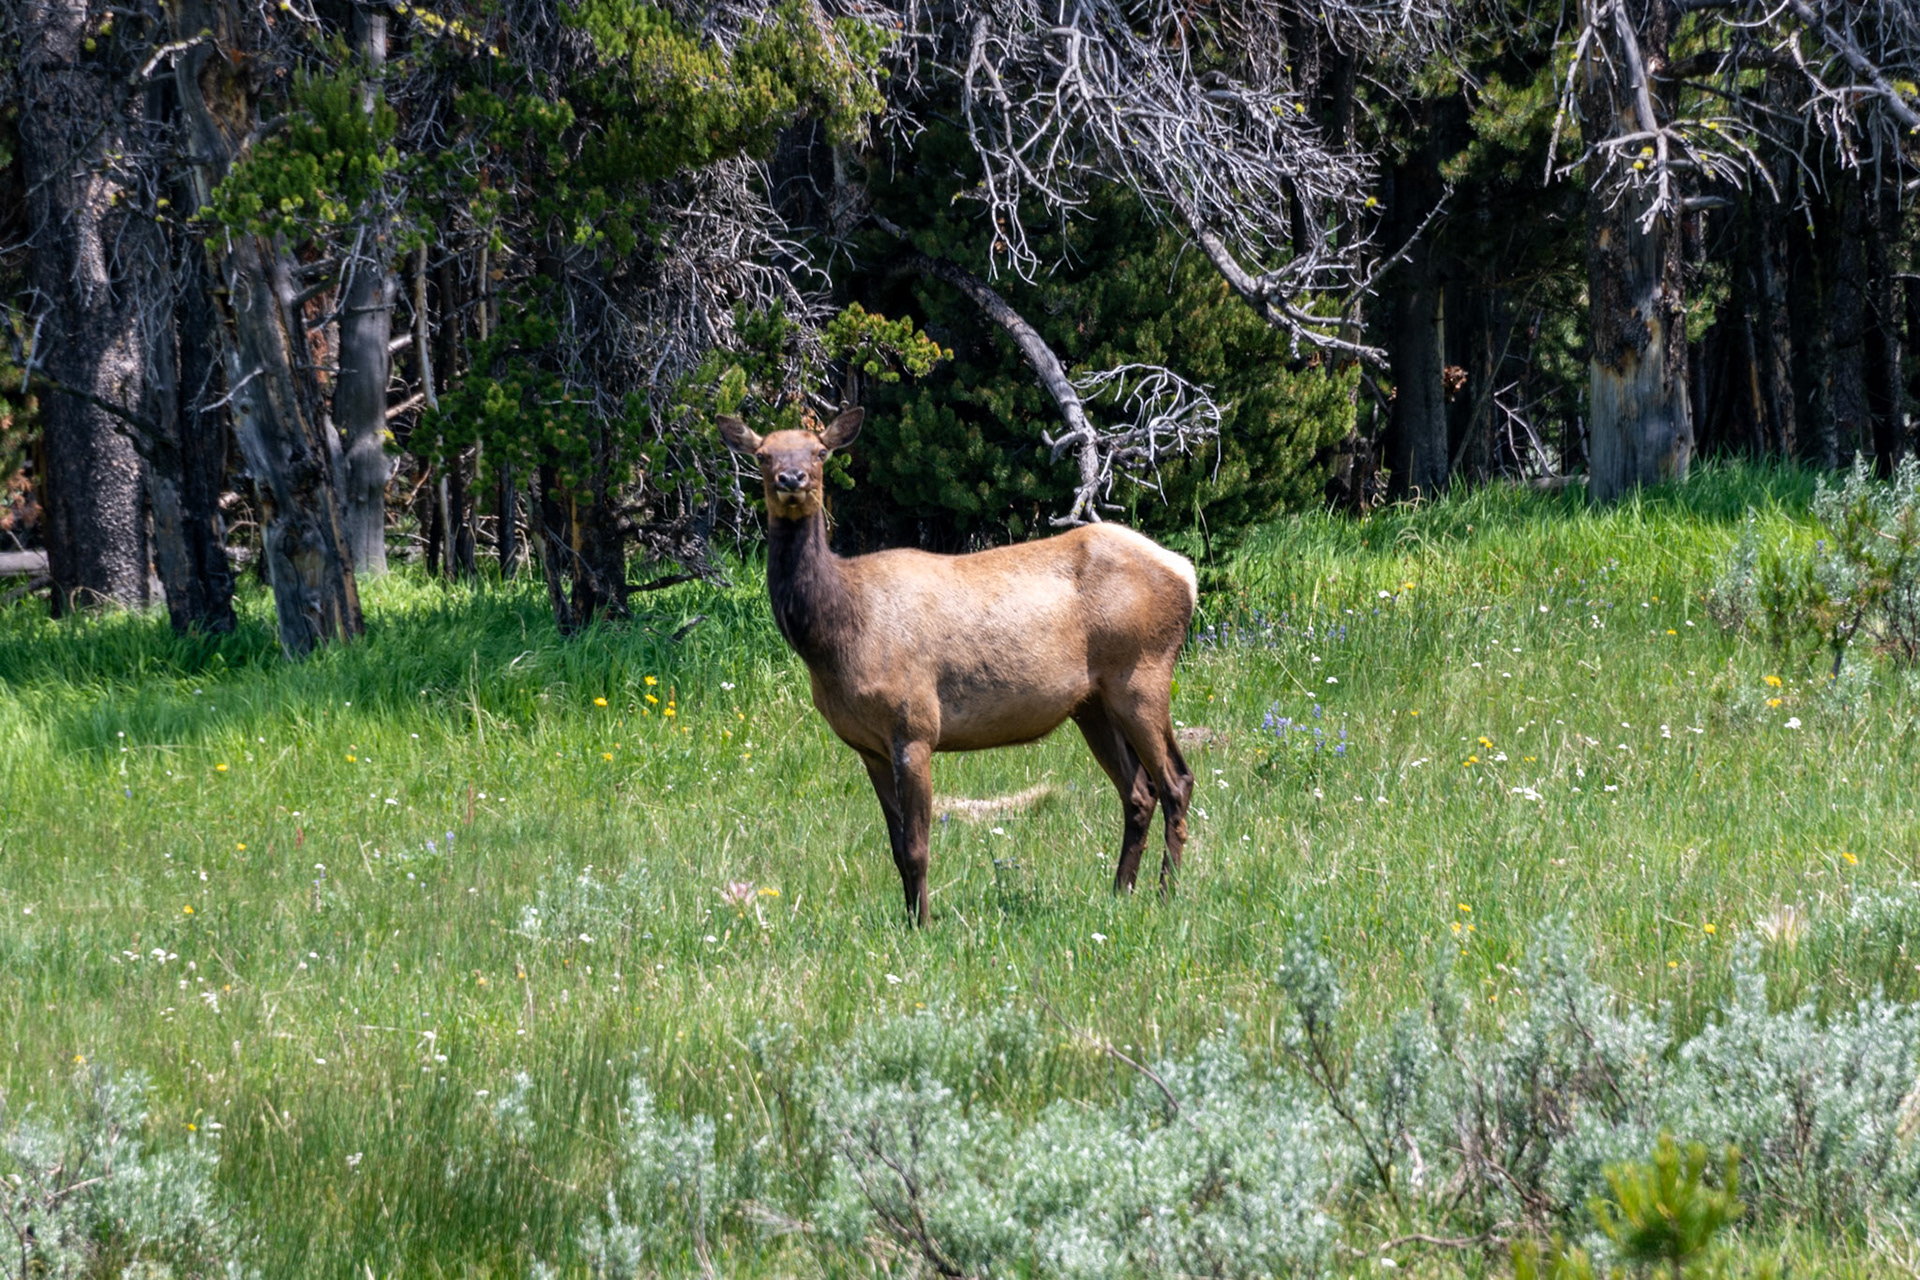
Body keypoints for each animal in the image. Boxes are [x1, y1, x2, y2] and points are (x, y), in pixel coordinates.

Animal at [719, 406, 1197, 925]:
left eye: (820, 451)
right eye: (763, 454)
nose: (792, 479)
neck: (840, 632)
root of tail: (1187, 574)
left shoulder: (915, 725)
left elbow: (916, 847)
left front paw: (923, 926)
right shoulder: (867, 745)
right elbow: (895, 847)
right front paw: (910, 918)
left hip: (1142, 673)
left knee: (1176, 781)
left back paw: (1166, 894)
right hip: (1092, 703)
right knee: (1139, 792)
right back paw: (1119, 892)